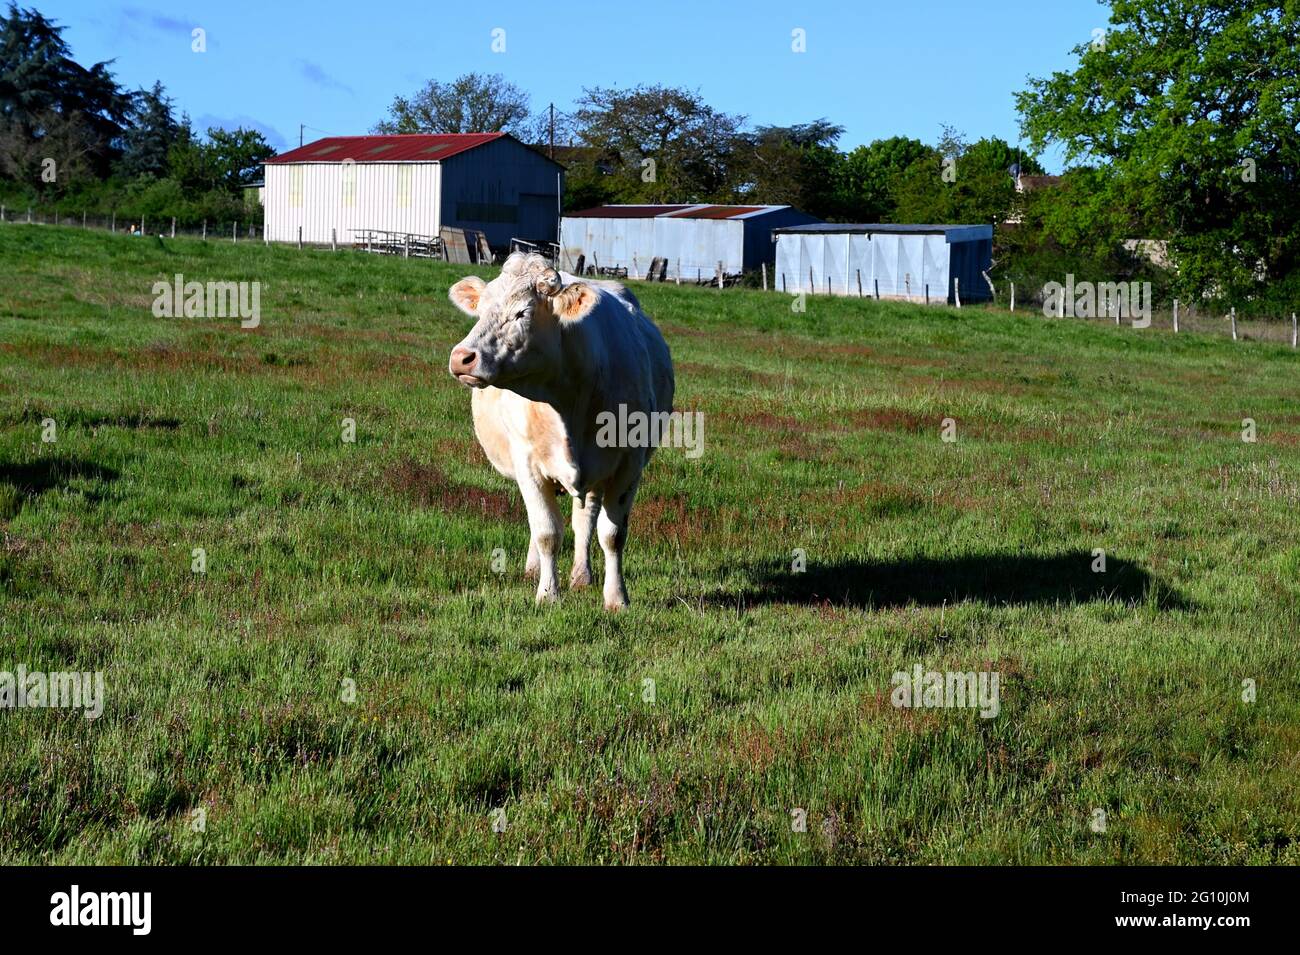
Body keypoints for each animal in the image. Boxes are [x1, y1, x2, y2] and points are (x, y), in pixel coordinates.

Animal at [447, 252, 674, 610]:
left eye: (522, 313)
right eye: (480, 311)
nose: (462, 358)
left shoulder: (628, 463)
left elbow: (612, 534)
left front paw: (616, 598)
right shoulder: (527, 464)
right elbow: (546, 531)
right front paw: (547, 594)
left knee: (585, 520)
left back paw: (582, 576)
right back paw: (534, 569)